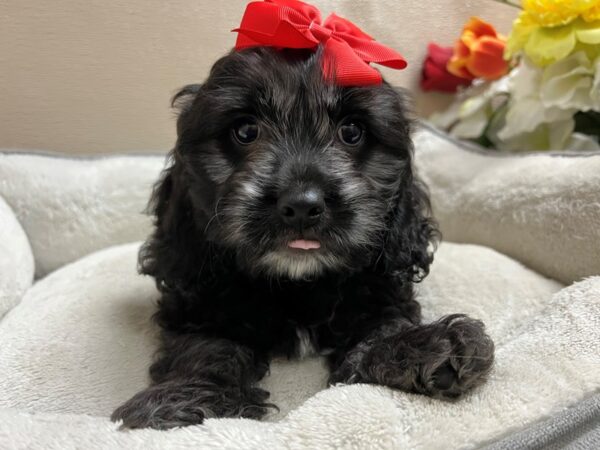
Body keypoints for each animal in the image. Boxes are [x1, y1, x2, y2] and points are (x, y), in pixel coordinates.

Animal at [110, 47, 494, 430]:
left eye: (352, 131)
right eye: (245, 130)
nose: (302, 205)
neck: (298, 285)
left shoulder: (381, 288)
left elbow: (383, 326)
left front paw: (429, 347)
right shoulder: (201, 299)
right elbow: (205, 347)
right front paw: (182, 398)